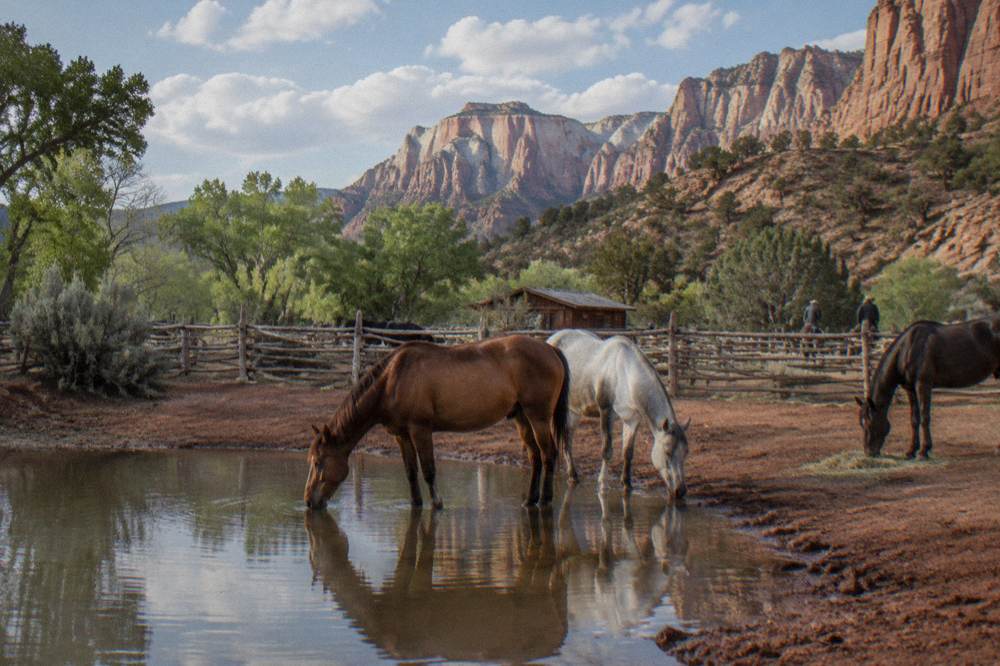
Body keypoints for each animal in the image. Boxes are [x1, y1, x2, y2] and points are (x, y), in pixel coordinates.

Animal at [304, 335, 570, 510]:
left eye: (318, 462)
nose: (307, 501)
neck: (393, 379)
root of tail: (549, 348)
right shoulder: (401, 434)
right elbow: (411, 471)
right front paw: (416, 504)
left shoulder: (420, 430)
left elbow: (429, 470)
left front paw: (437, 503)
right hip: (521, 418)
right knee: (535, 457)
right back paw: (529, 500)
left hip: (538, 417)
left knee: (548, 454)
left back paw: (545, 499)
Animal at [546, 329, 689, 500]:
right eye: (667, 451)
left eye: (686, 452)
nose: (680, 491)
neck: (625, 374)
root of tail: (550, 340)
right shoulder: (605, 411)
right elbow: (607, 450)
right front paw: (602, 484)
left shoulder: (632, 419)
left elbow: (628, 452)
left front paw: (627, 484)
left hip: (573, 411)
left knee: (566, 440)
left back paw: (571, 475)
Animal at [856, 317, 1000, 458]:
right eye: (861, 424)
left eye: (869, 422)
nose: (869, 452)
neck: (908, 348)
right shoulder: (910, 389)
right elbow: (914, 419)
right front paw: (911, 451)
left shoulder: (923, 385)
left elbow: (925, 417)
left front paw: (924, 451)